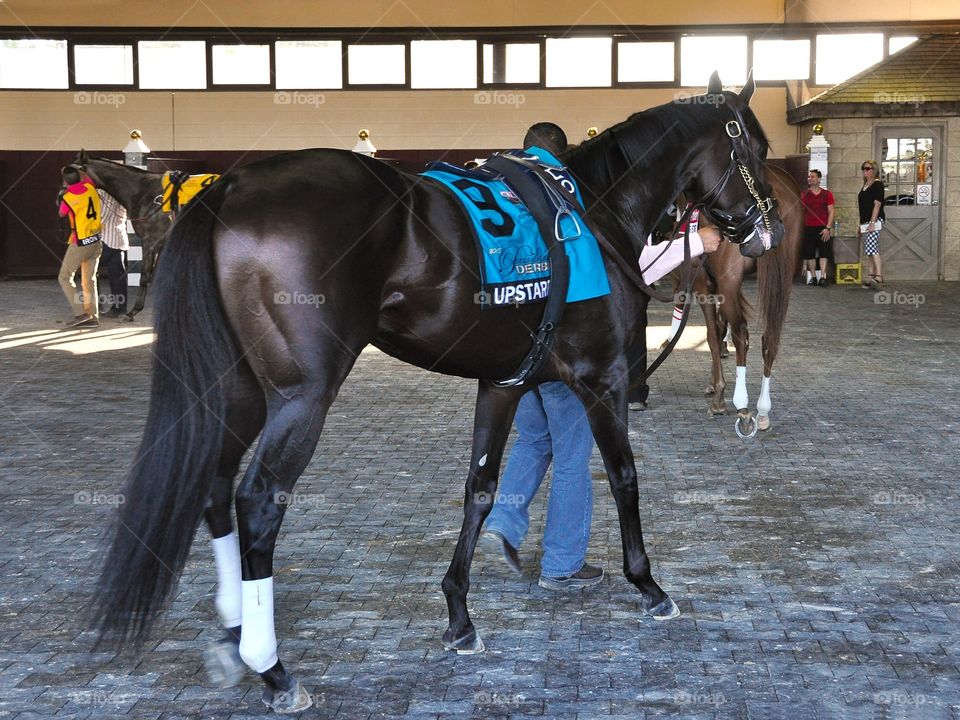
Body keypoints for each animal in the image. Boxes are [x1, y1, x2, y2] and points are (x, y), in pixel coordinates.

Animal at [90, 74, 780, 716]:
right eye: (756, 146)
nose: (765, 229)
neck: (593, 210)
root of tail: (229, 188)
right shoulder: (601, 378)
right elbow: (623, 475)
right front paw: (649, 585)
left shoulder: (505, 382)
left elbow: (481, 489)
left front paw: (459, 616)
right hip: (301, 396)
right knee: (258, 502)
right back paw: (274, 669)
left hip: (237, 388)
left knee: (213, 484)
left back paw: (235, 633)